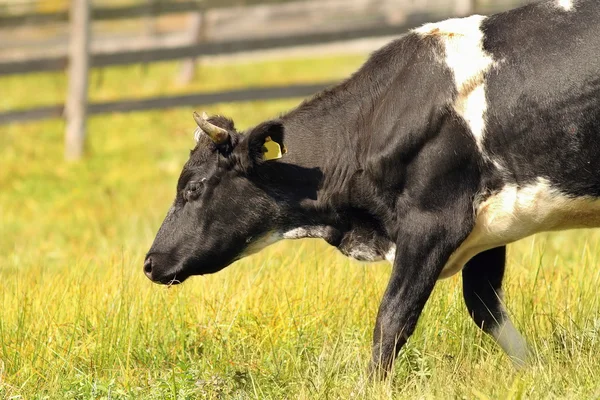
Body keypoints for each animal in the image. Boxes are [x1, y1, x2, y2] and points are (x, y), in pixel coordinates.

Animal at [145, 0, 600, 376]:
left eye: (193, 188)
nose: (149, 262)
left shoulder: (433, 221)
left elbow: (393, 317)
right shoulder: (490, 226)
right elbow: (484, 306)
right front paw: (535, 372)